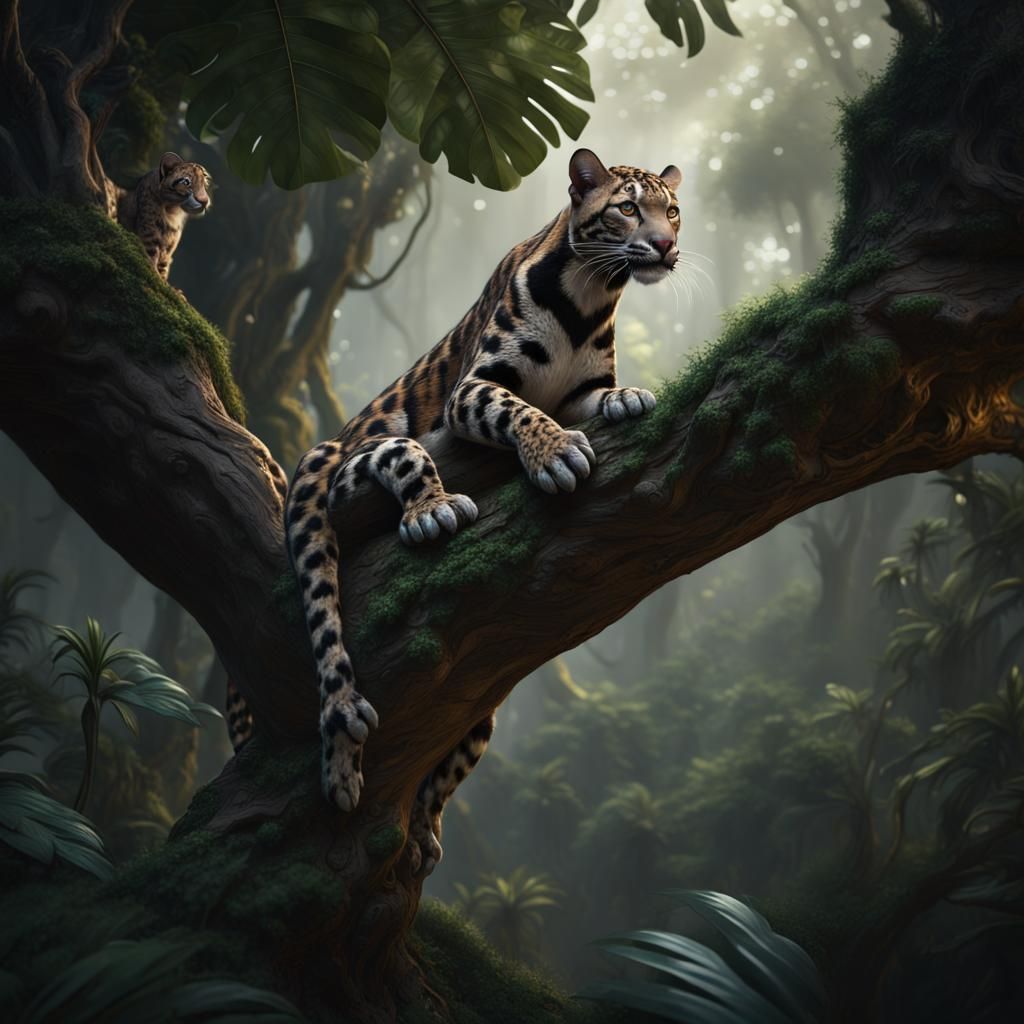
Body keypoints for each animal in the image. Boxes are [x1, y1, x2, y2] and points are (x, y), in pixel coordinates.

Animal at [116, 152, 211, 281]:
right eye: (186, 182)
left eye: (204, 183)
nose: (205, 201)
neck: (173, 211)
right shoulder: (149, 234)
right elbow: (151, 259)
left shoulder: (168, 249)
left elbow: (163, 267)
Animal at [279, 148, 681, 875]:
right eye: (628, 209)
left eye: (673, 211)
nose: (666, 246)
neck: (589, 298)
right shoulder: (472, 389)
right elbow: (515, 409)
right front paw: (553, 453)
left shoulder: (578, 392)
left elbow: (595, 398)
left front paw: (629, 397)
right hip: (327, 468)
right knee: (333, 602)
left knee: (457, 750)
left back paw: (423, 833)